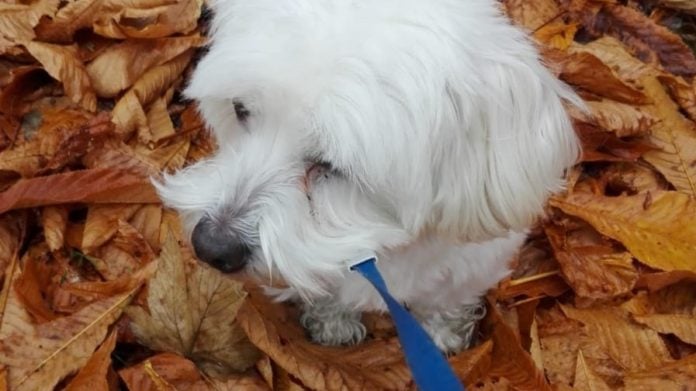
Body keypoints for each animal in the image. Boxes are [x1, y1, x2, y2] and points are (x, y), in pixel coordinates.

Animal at [158, 0, 580, 354]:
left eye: (332, 166)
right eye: (240, 109)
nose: (211, 246)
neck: (380, 243)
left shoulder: (472, 265)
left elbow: (446, 299)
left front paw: (443, 333)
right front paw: (332, 322)